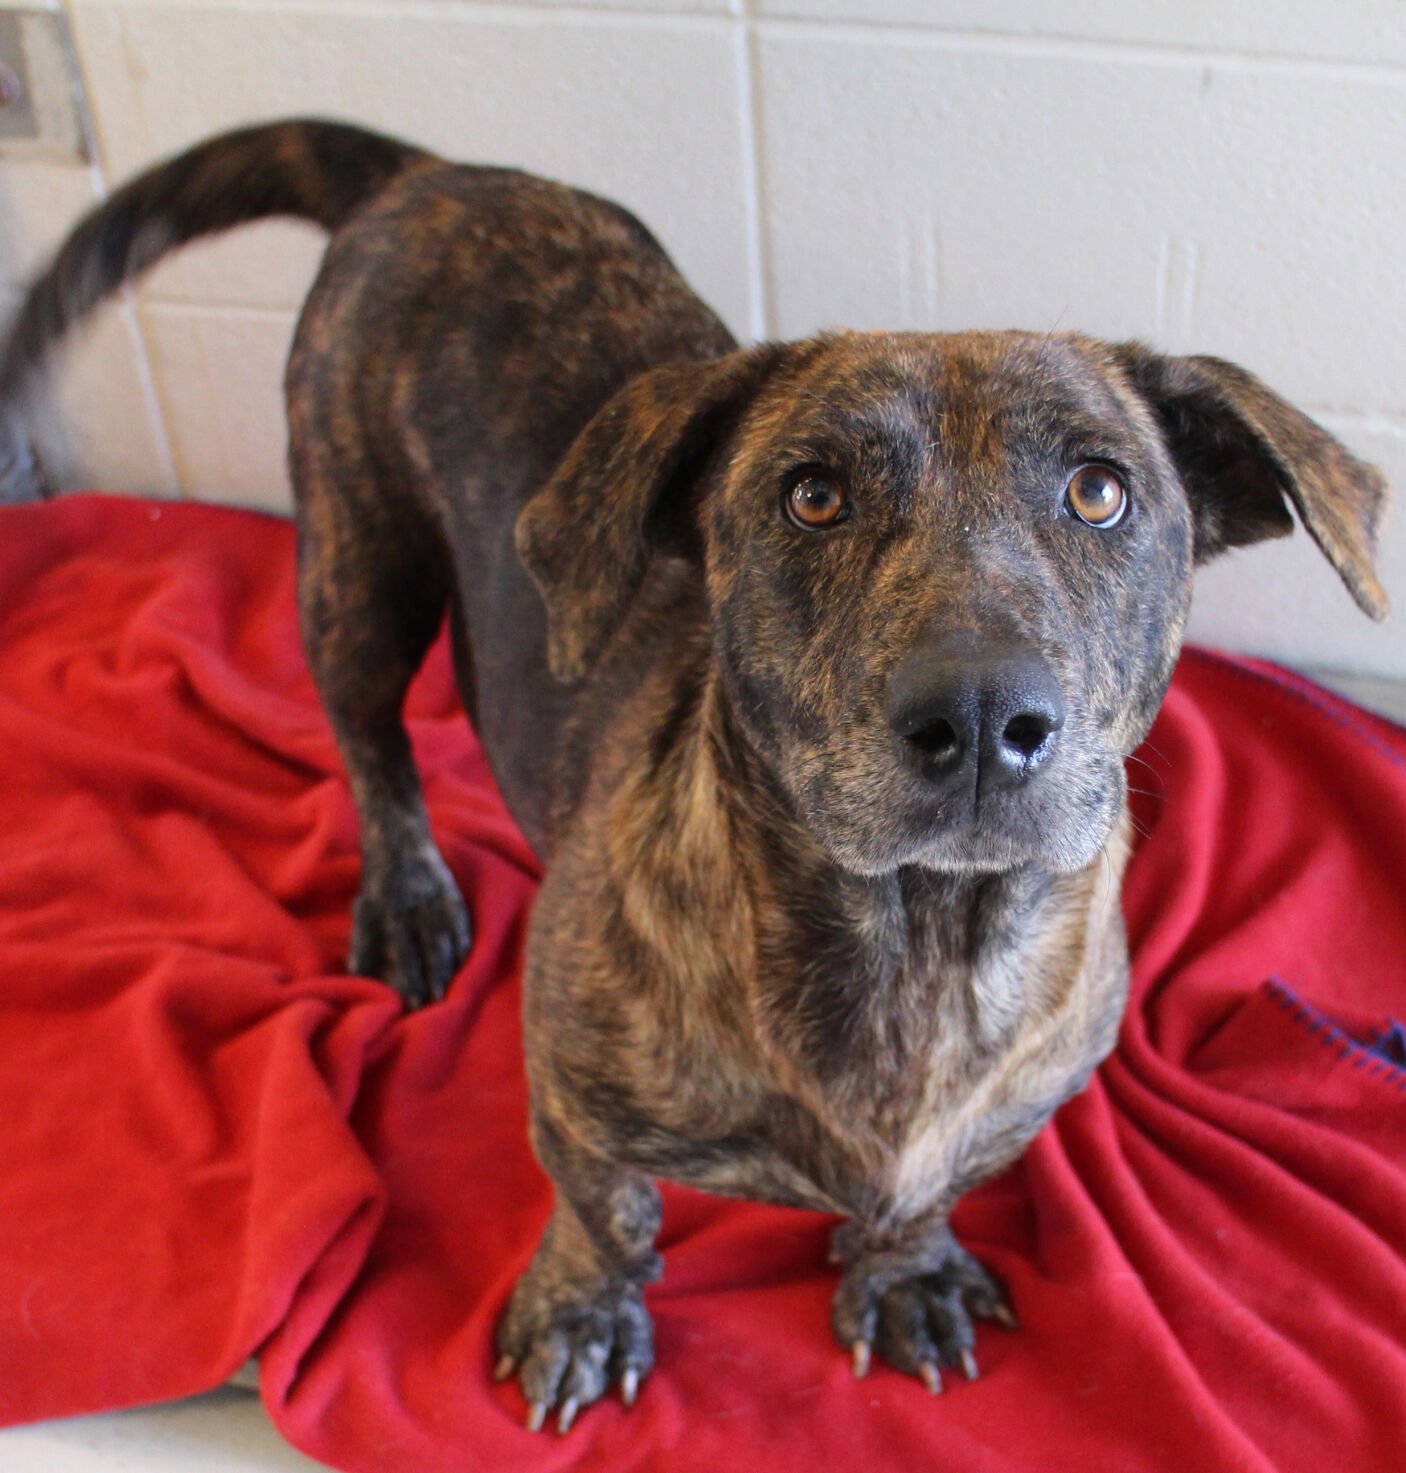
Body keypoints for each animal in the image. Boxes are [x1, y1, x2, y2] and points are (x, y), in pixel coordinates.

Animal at [0, 120, 1383, 1431]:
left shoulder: (1008, 1107)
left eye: (1098, 491)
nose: (983, 712)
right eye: (811, 496)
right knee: (374, 750)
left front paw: (901, 1271)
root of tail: (433, 176)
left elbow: (923, 1196)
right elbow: (604, 1209)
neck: (917, 945)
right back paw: (408, 899)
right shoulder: (566, 1086)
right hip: (355, 572)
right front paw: (583, 1310)